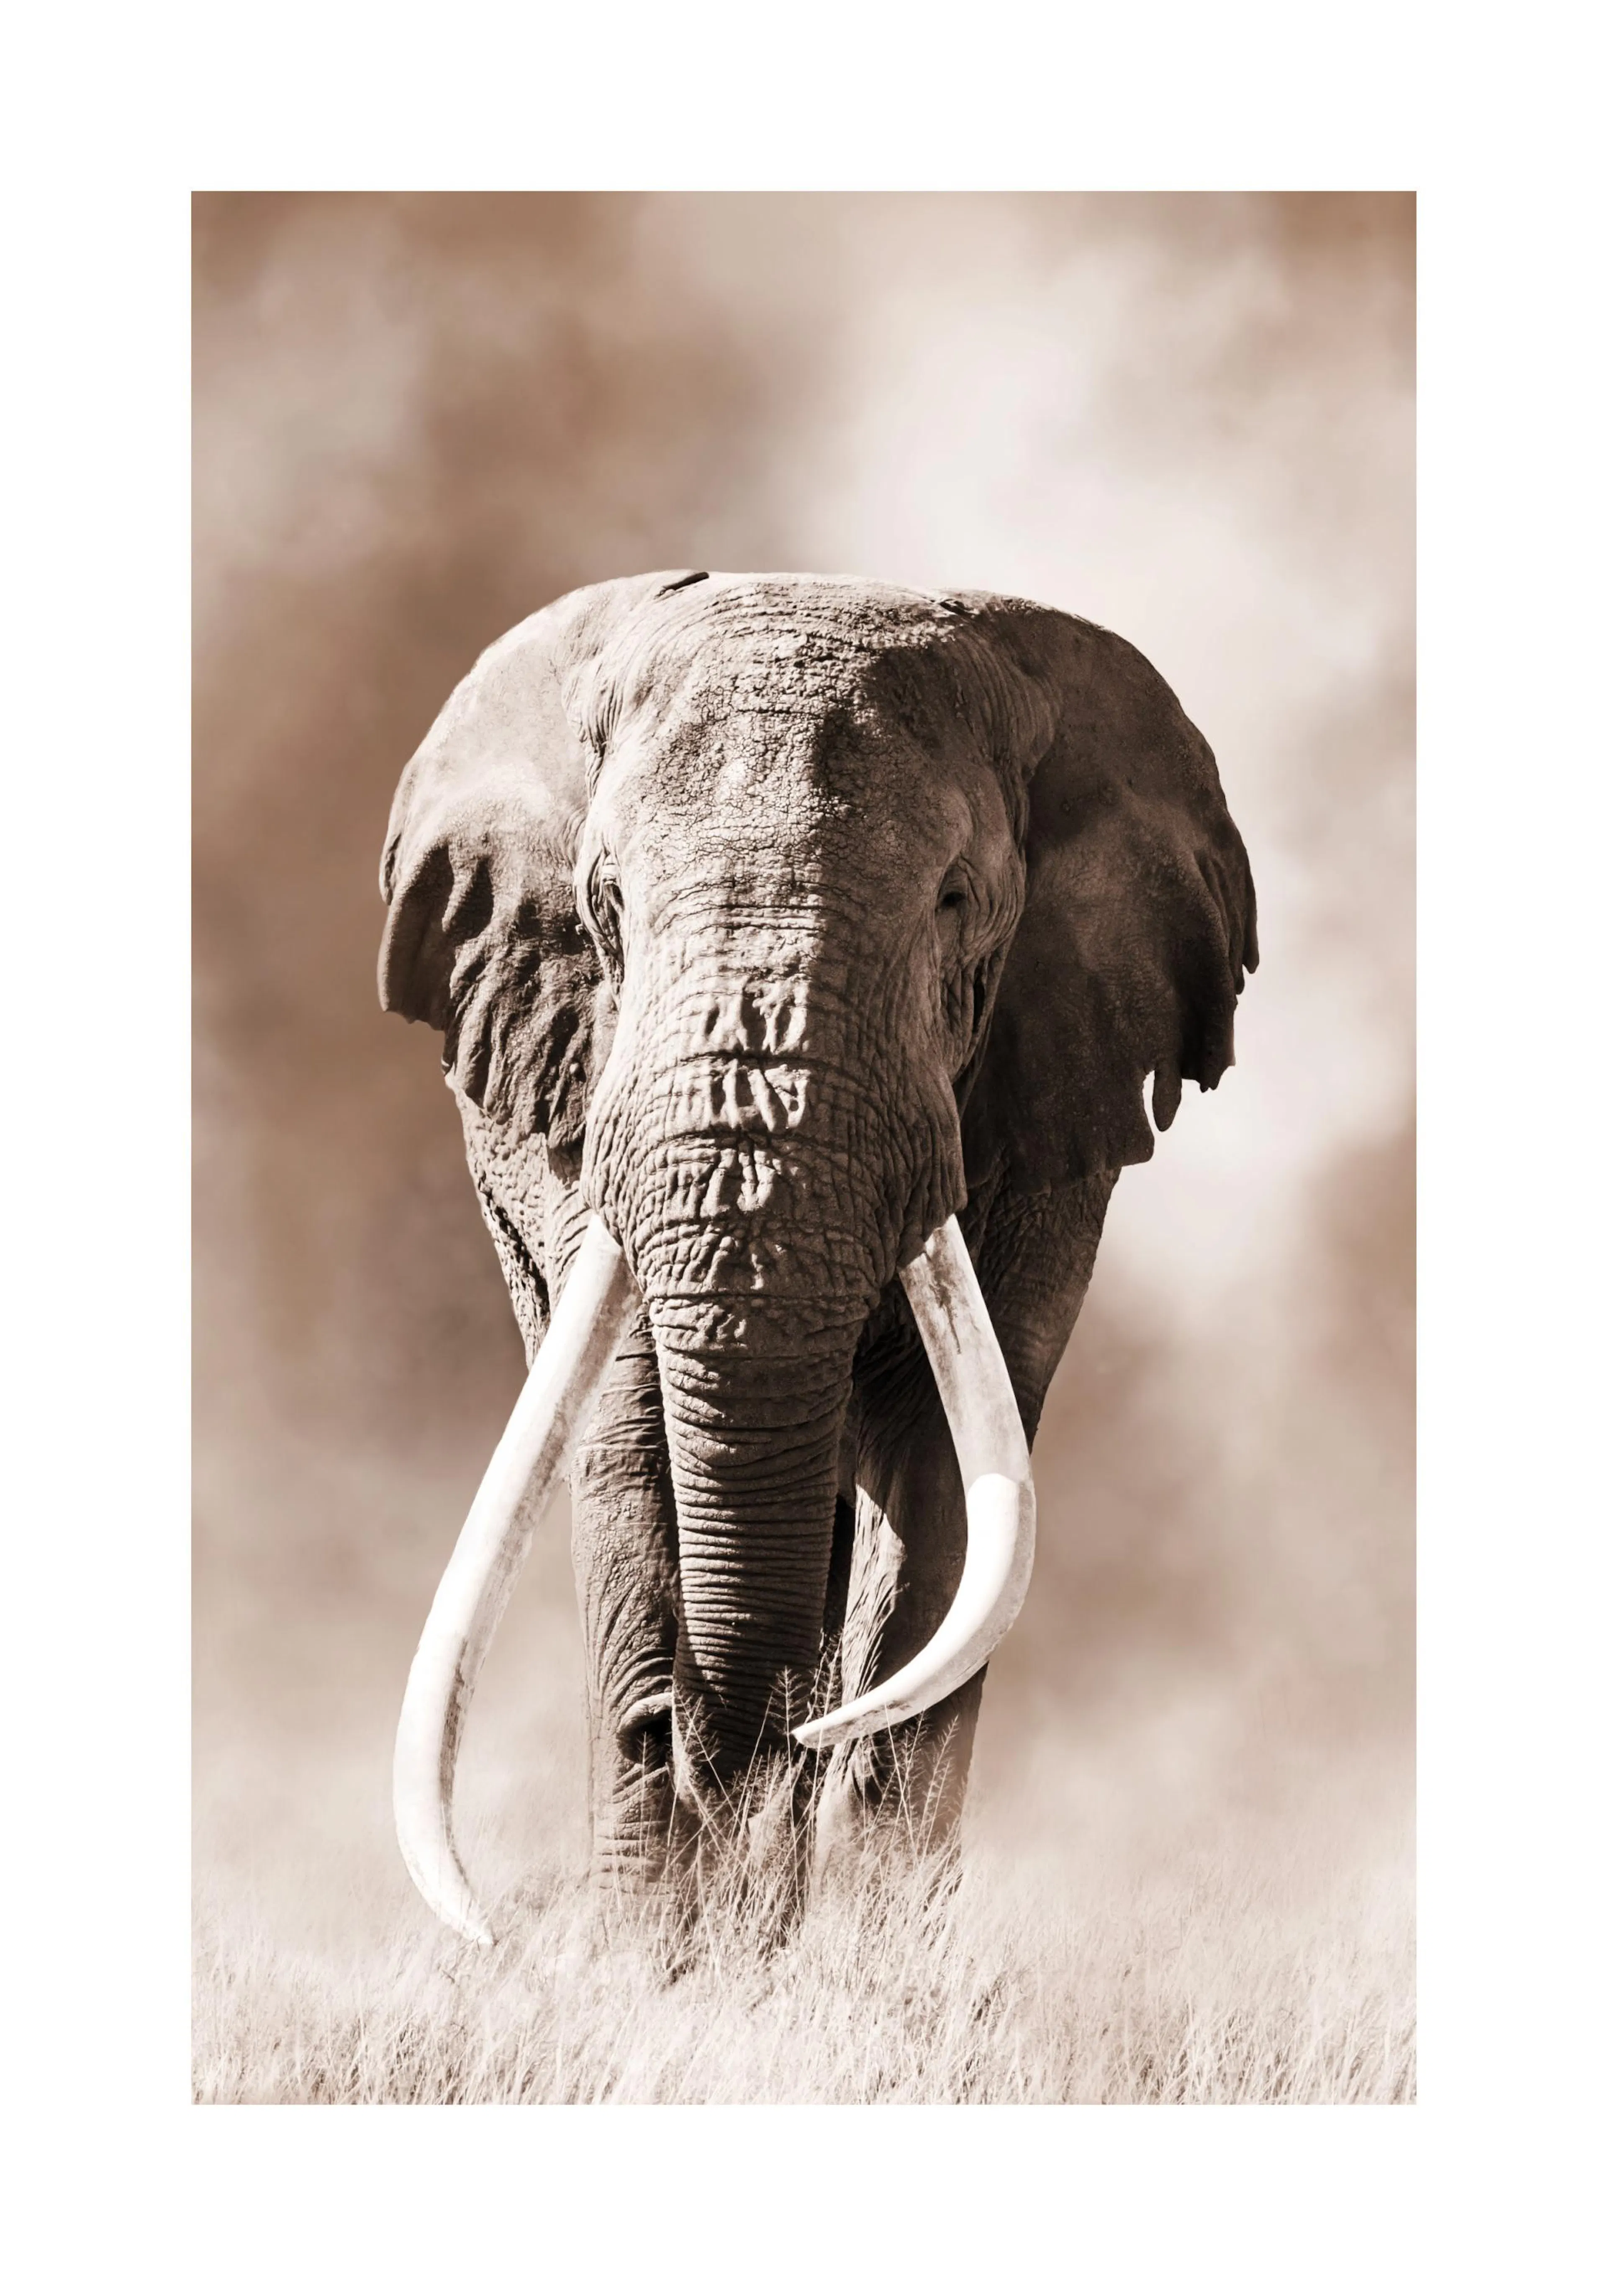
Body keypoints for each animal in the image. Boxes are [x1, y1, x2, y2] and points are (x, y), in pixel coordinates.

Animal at [378, 570, 1257, 1945]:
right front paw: (656, 1954)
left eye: (956, 904)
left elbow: (950, 1472)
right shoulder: (579, 1086)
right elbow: (629, 1426)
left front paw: (865, 1948)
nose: (690, 1732)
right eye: (605, 905)